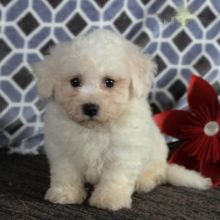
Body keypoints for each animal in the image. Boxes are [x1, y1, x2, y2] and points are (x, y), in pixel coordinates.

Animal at [34, 30, 211, 211]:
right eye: (75, 81)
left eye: (109, 82)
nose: (90, 108)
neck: (95, 128)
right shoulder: (62, 149)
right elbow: (66, 173)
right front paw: (65, 194)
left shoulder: (124, 150)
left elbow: (116, 176)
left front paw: (110, 198)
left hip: (156, 156)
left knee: (156, 173)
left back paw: (144, 182)